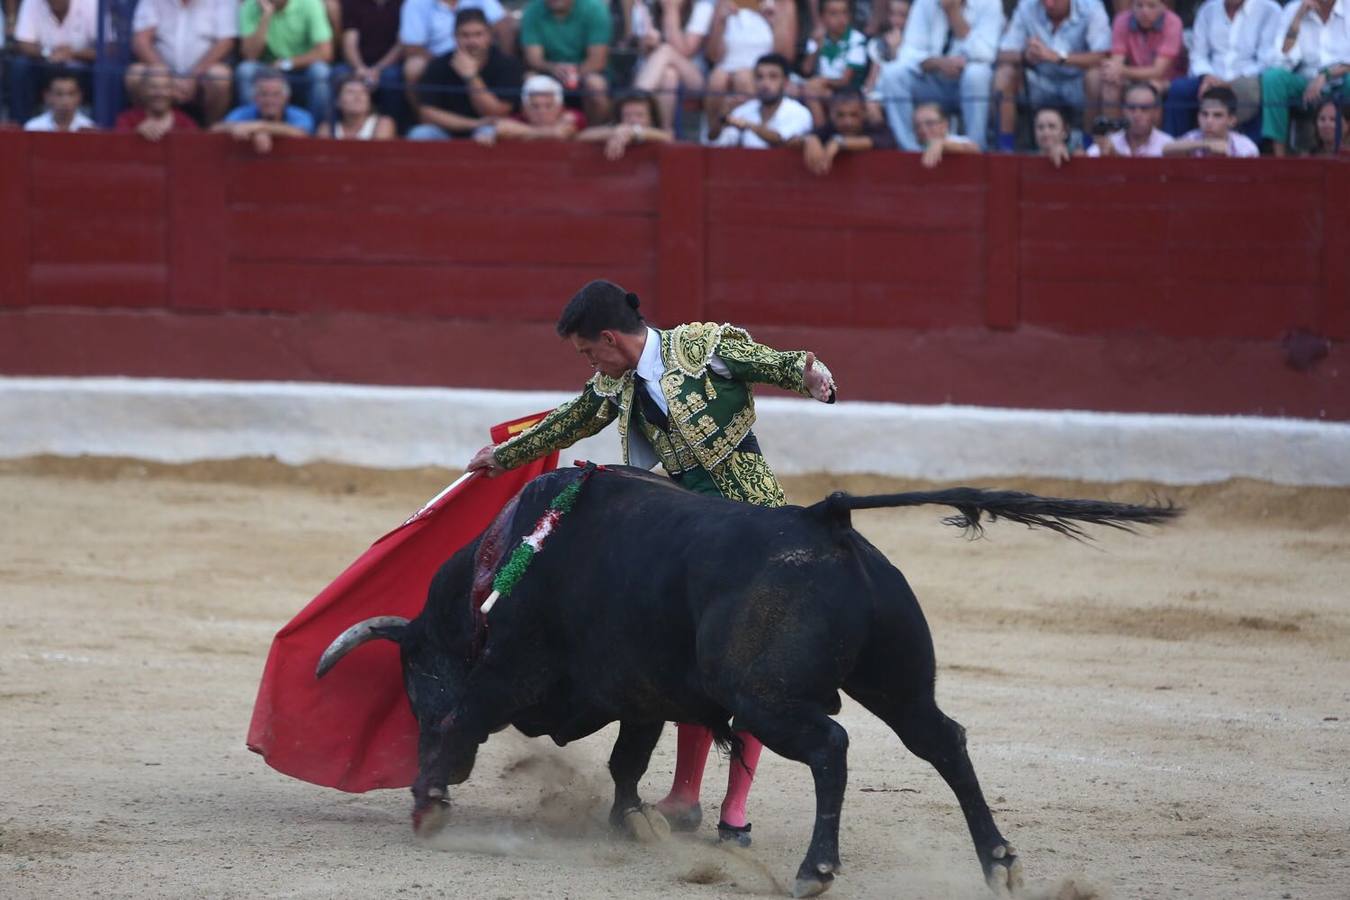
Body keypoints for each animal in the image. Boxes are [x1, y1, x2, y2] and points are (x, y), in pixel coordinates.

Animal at [313, 469, 1171, 895]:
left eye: (414, 683)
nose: (441, 775)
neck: (498, 575)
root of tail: (825, 521)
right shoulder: (639, 692)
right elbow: (628, 761)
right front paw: (635, 824)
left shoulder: (513, 670)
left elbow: (469, 713)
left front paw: (429, 804)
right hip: (897, 681)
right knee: (944, 741)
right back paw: (998, 863)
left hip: (769, 695)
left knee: (832, 746)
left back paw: (815, 871)